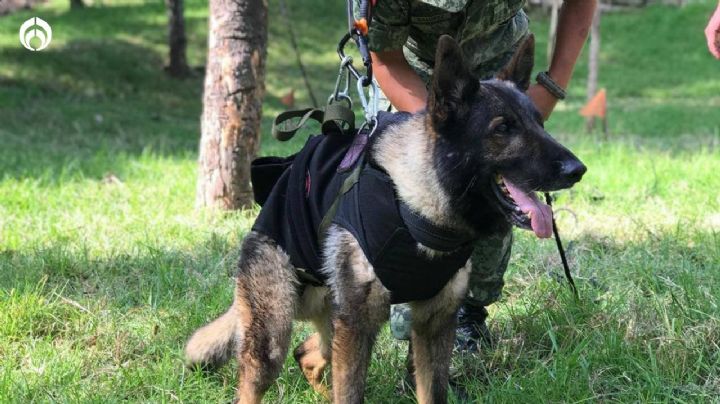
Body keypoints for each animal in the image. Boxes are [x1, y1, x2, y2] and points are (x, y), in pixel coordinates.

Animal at [186, 35, 584, 404]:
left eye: (540, 123)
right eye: (503, 128)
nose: (578, 170)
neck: (419, 208)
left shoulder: (434, 326)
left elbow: (432, 392)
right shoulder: (360, 326)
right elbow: (350, 395)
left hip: (332, 326)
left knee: (307, 353)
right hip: (275, 335)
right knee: (266, 373)